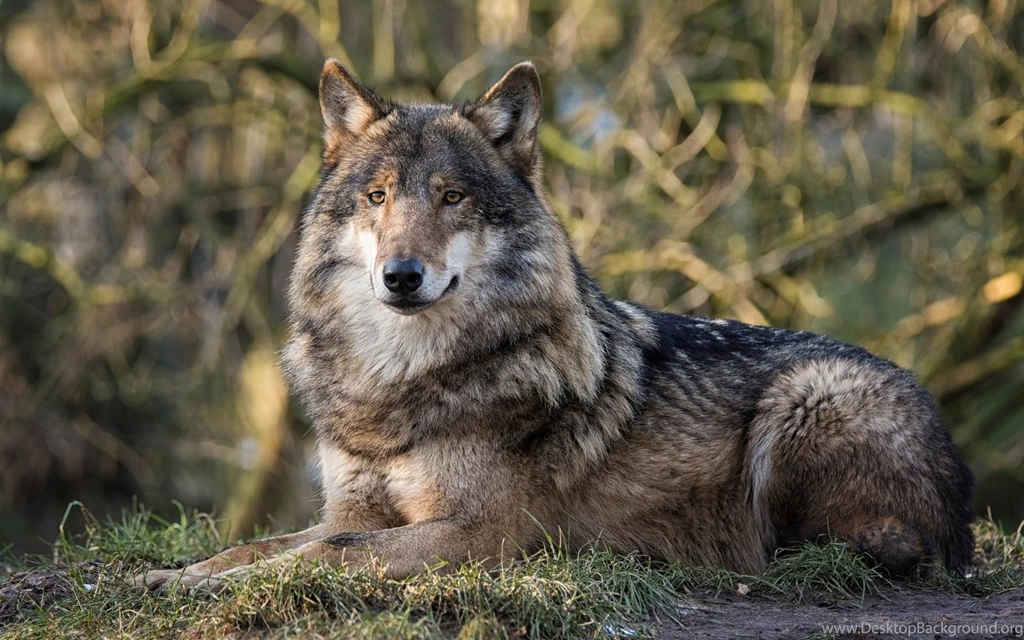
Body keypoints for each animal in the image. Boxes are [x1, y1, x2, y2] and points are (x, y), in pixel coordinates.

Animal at [138, 60, 974, 592]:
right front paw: (172, 574)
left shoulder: (480, 534)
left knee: (862, 551)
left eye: (451, 198)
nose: (401, 276)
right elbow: (264, 541)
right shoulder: (351, 506)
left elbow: (334, 552)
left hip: (807, 397)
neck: (400, 382)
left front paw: (220, 588)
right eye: (378, 197)